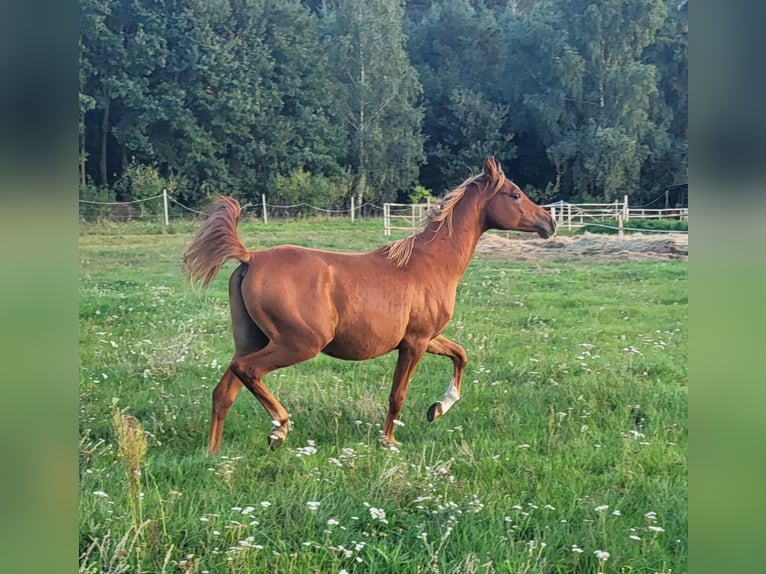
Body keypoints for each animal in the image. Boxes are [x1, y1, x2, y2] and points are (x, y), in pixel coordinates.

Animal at [183, 156, 556, 455]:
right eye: (515, 194)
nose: (549, 223)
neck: (430, 263)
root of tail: (251, 258)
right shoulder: (415, 343)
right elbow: (397, 394)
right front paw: (388, 440)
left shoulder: (428, 338)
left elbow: (460, 355)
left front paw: (438, 408)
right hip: (299, 344)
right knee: (247, 370)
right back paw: (279, 428)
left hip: (252, 340)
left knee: (224, 391)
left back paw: (214, 455)